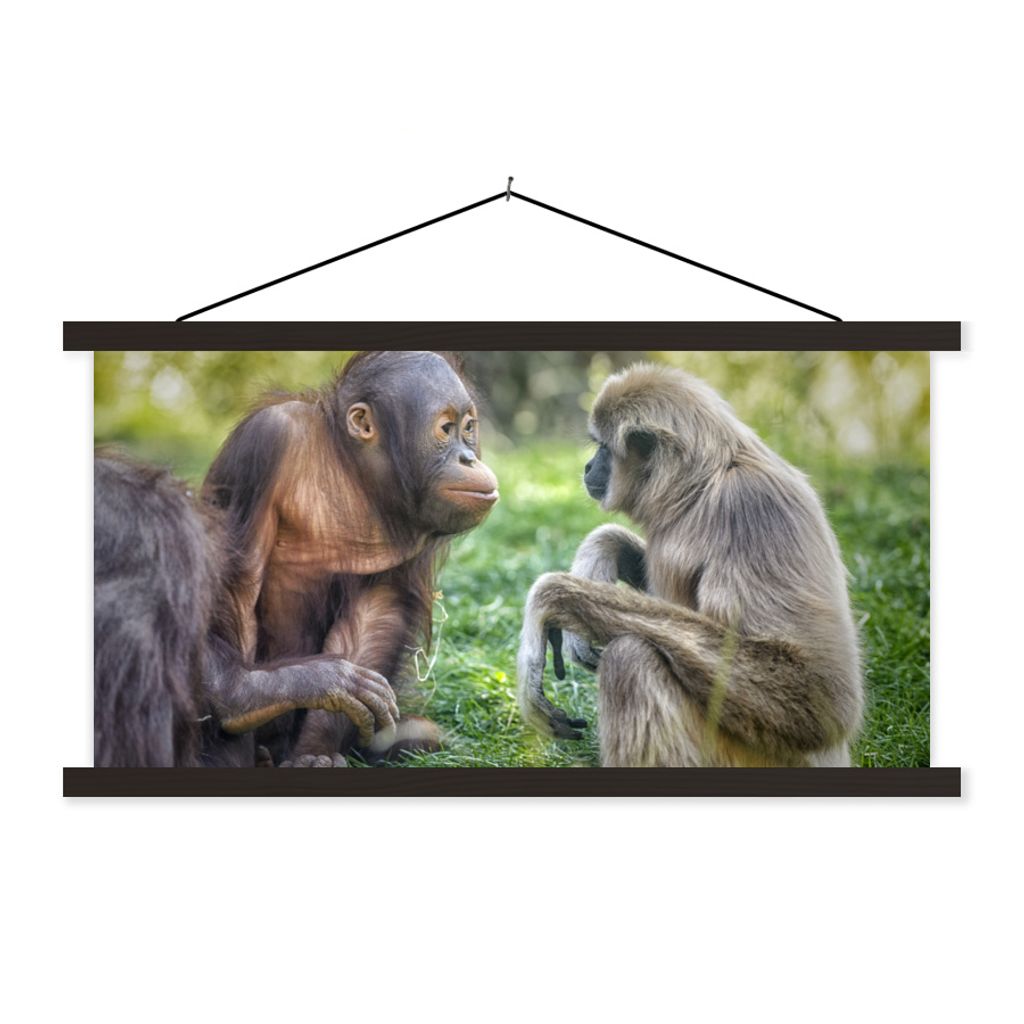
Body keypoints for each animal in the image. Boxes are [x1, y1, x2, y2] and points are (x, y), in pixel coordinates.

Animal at [517, 364, 864, 767]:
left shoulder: (751, 506)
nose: (588, 466)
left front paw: (551, 598)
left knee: (630, 657)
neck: (702, 487)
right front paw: (599, 554)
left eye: (603, 448)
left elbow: (817, 692)